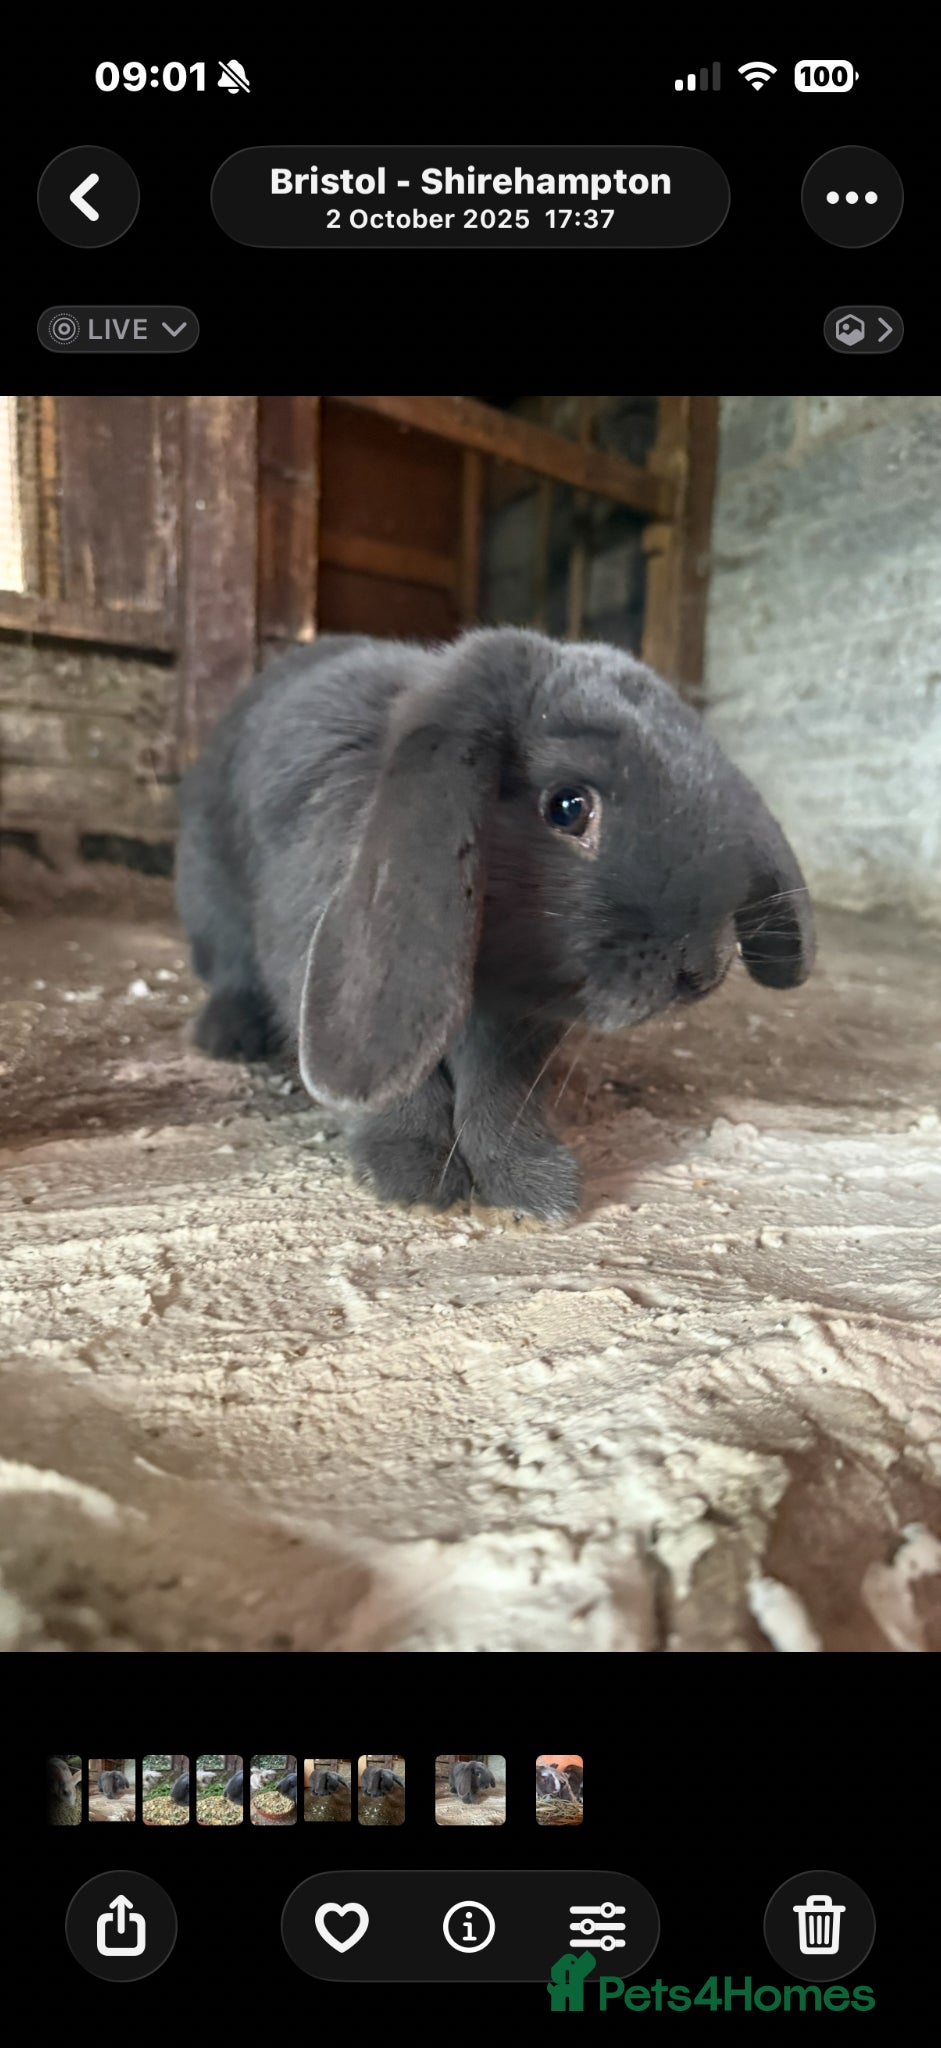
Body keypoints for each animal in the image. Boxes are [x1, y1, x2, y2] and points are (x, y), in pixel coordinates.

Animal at [176, 628, 815, 1222]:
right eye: (568, 807)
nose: (704, 968)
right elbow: (399, 1091)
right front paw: (415, 1176)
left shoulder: (517, 1022)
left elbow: (499, 1092)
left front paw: (537, 1185)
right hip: (210, 904)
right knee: (229, 973)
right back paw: (229, 1038)